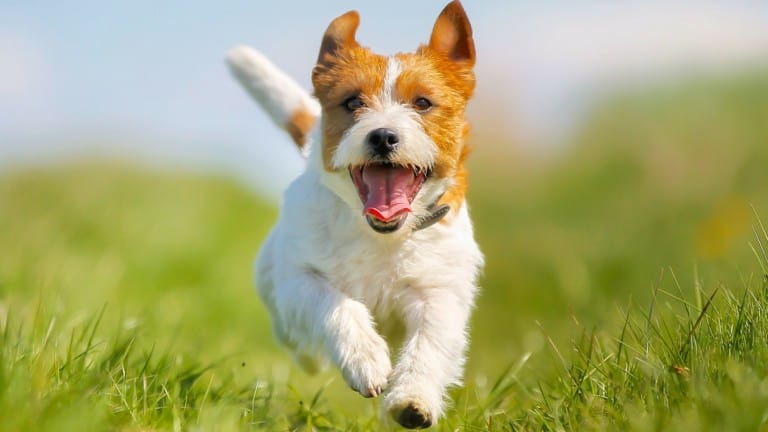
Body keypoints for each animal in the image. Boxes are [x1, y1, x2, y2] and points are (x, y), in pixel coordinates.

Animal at [225, 1, 484, 428]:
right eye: (351, 103)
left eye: (423, 103)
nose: (383, 136)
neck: (380, 234)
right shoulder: (300, 279)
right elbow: (336, 304)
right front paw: (365, 359)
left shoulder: (439, 292)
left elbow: (429, 343)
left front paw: (412, 398)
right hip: (275, 288)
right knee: (293, 336)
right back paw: (311, 357)